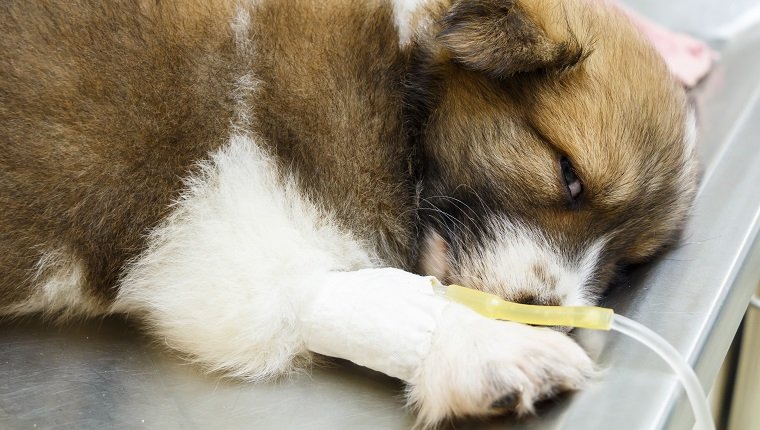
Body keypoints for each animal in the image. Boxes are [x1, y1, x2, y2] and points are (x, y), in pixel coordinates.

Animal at [0, 0, 696, 426]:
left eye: (625, 263)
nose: (544, 313)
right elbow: (361, 294)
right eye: (568, 175)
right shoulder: (215, 226)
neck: (397, 83)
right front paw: (480, 342)